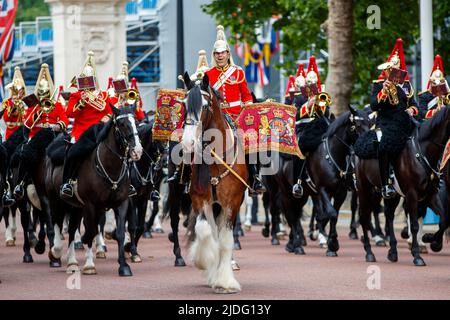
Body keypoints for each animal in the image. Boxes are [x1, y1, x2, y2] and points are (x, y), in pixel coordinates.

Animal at [181, 73, 248, 296]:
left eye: (204, 105)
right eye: (183, 104)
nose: (187, 143)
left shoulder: (232, 203)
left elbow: (226, 241)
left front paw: (225, 282)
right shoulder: (201, 200)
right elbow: (204, 231)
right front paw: (205, 263)